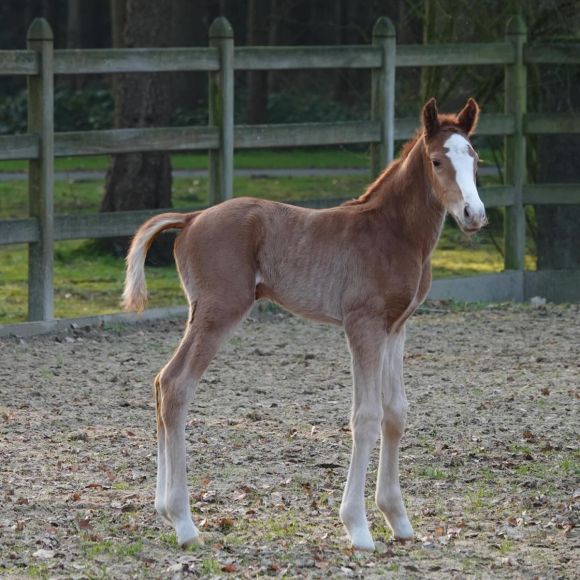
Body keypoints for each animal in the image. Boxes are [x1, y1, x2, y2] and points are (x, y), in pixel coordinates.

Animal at [124, 97, 488, 552]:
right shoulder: (363, 325)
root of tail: (191, 218)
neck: (392, 233)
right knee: (175, 385)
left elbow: (395, 413)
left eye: (475, 159)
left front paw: (398, 520)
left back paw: (162, 509)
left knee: (160, 382)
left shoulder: (396, 327)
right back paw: (184, 522)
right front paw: (358, 527)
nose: (474, 215)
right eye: (438, 161)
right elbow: (366, 416)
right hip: (218, 310)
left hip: (202, 311)